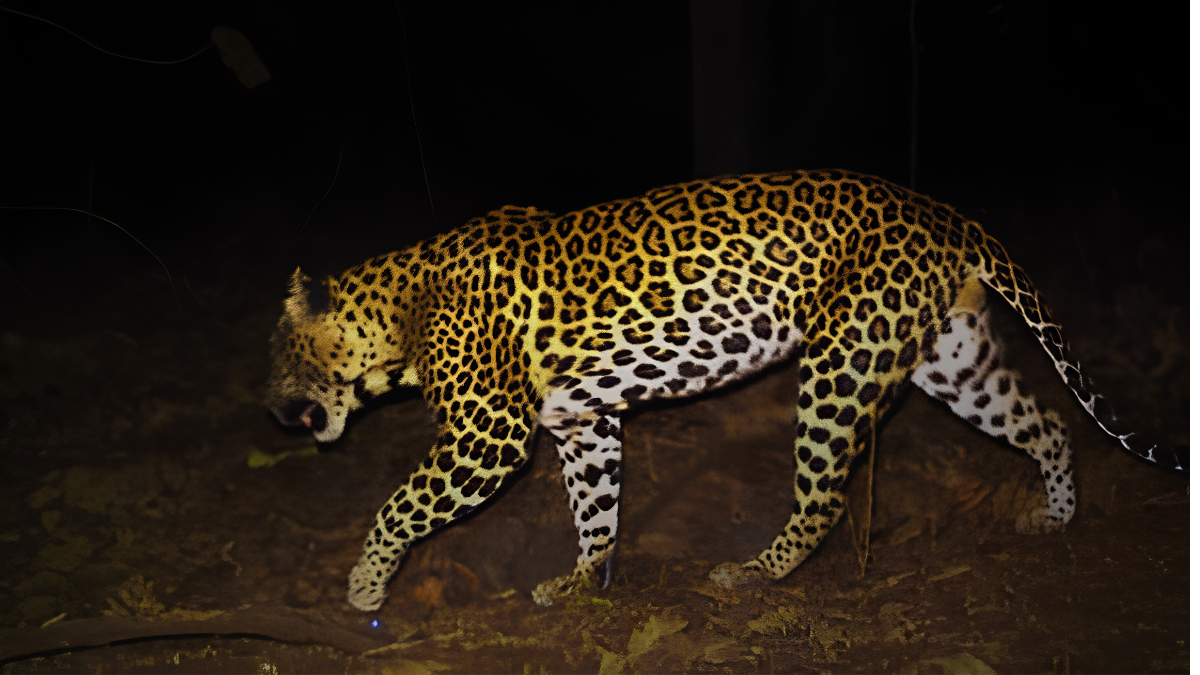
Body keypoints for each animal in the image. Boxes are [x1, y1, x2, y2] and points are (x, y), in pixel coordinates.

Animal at [264, 169, 1187, 612]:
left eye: (275, 355)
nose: (268, 410)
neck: (398, 309)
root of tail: (946, 213)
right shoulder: (585, 421)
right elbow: (595, 510)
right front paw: (582, 584)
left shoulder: (489, 435)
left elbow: (399, 505)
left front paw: (363, 585)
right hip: (952, 361)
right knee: (1047, 423)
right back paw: (1057, 515)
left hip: (841, 363)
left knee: (824, 495)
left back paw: (753, 573)